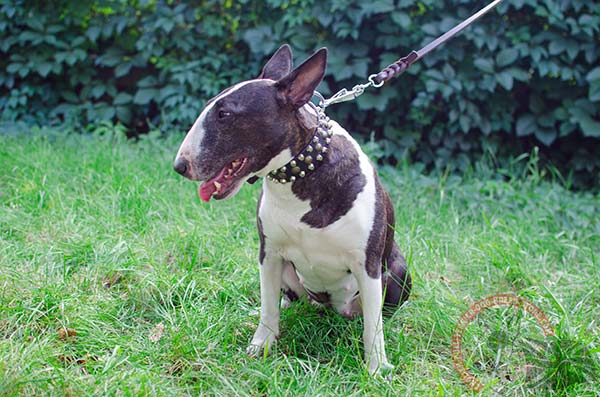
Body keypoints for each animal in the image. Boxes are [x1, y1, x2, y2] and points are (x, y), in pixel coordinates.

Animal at [171, 44, 410, 372]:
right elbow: (268, 307)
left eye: (224, 114)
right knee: (284, 297)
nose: (180, 166)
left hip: (398, 270)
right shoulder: (269, 254)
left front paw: (376, 368)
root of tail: (329, 306)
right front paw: (261, 346)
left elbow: (372, 326)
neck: (301, 175)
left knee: (377, 312)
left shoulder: (368, 265)